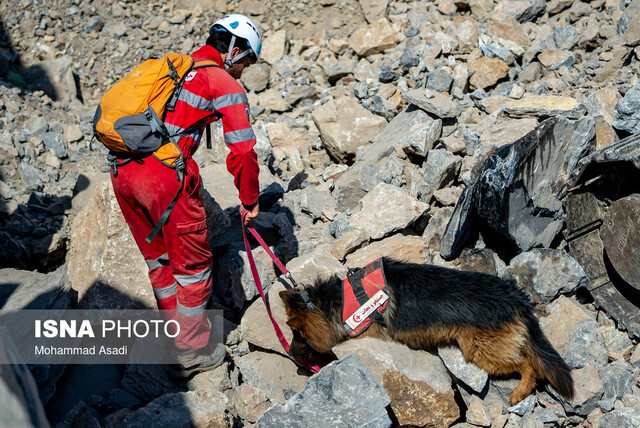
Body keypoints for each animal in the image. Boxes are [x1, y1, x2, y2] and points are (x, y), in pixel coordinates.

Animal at [280, 258, 576, 404]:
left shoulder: (366, 335)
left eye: (298, 336)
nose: (290, 354)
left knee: (529, 365)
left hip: (482, 351)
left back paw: (520, 392)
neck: (334, 301)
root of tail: (513, 295)